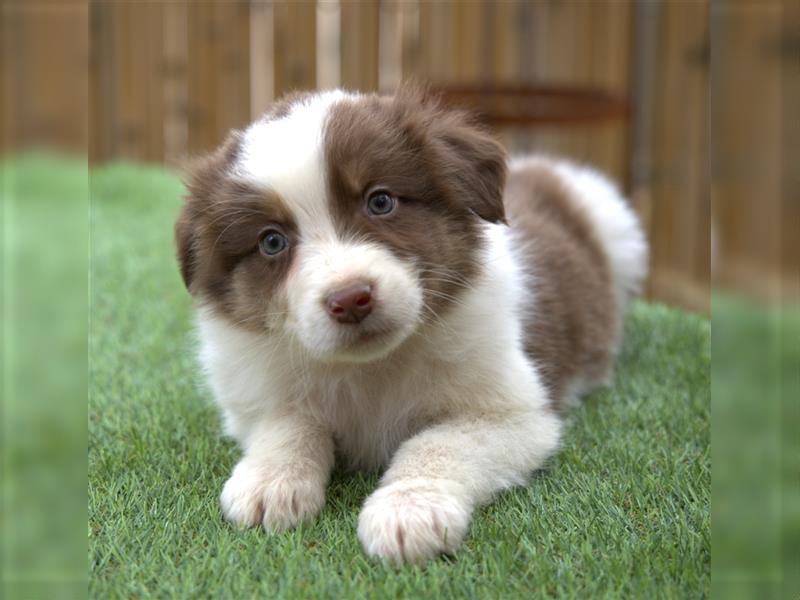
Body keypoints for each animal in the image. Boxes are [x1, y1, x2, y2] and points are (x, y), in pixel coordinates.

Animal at [173, 86, 644, 564]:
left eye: (381, 201)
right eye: (271, 242)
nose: (351, 299)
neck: (372, 367)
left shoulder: (515, 414)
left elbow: (437, 443)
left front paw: (408, 511)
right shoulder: (253, 396)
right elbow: (289, 423)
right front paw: (270, 482)